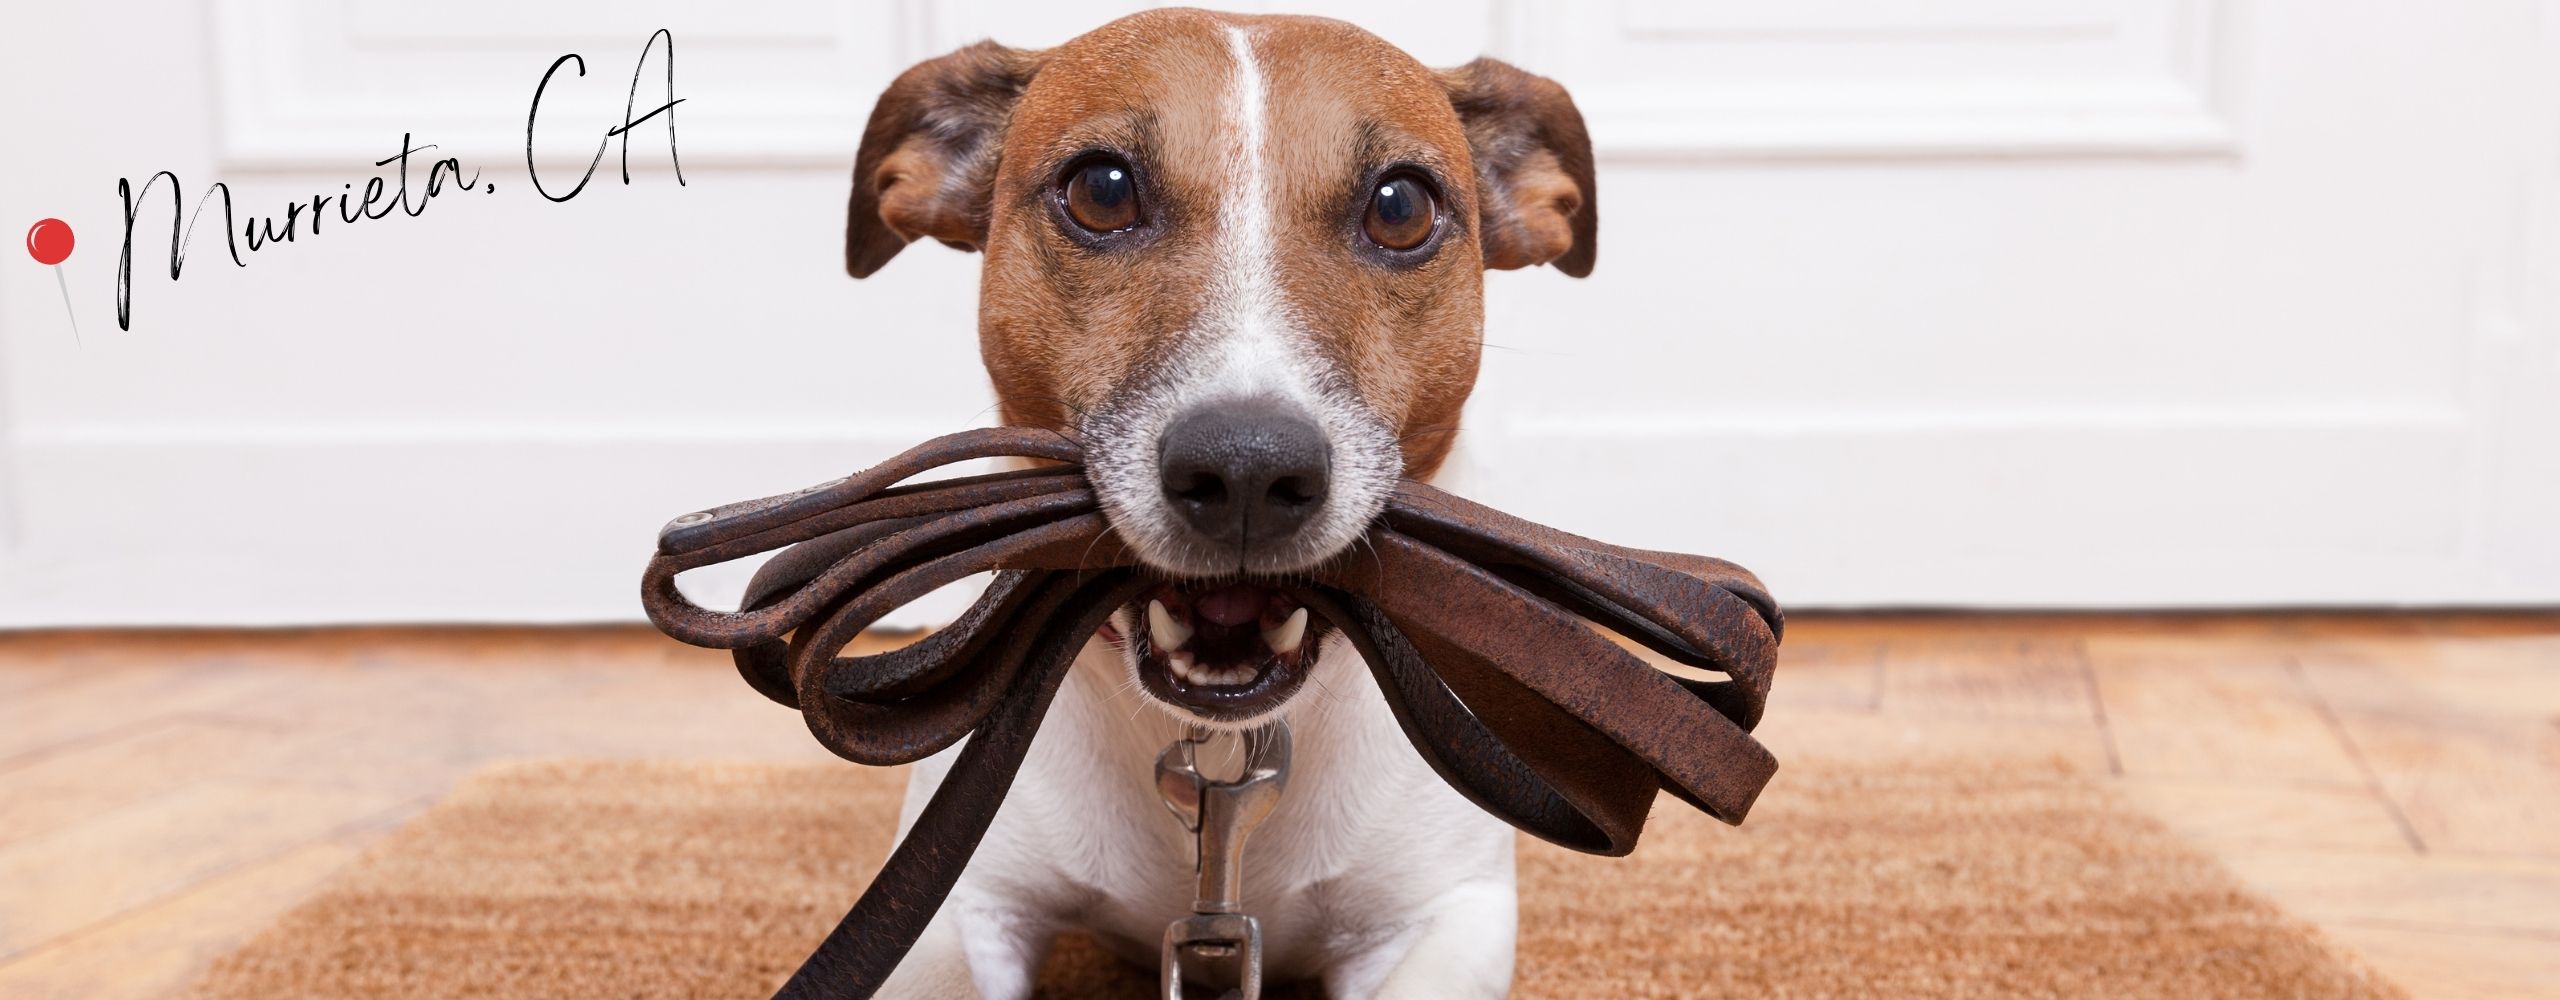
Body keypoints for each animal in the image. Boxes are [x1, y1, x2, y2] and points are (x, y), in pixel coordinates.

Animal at [839, 9, 1597, 1000]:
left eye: (1401, 207)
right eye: (1102, 191)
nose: (1247, 473)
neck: (1217, 746)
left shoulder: (1448, 915)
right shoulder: (957, 911)